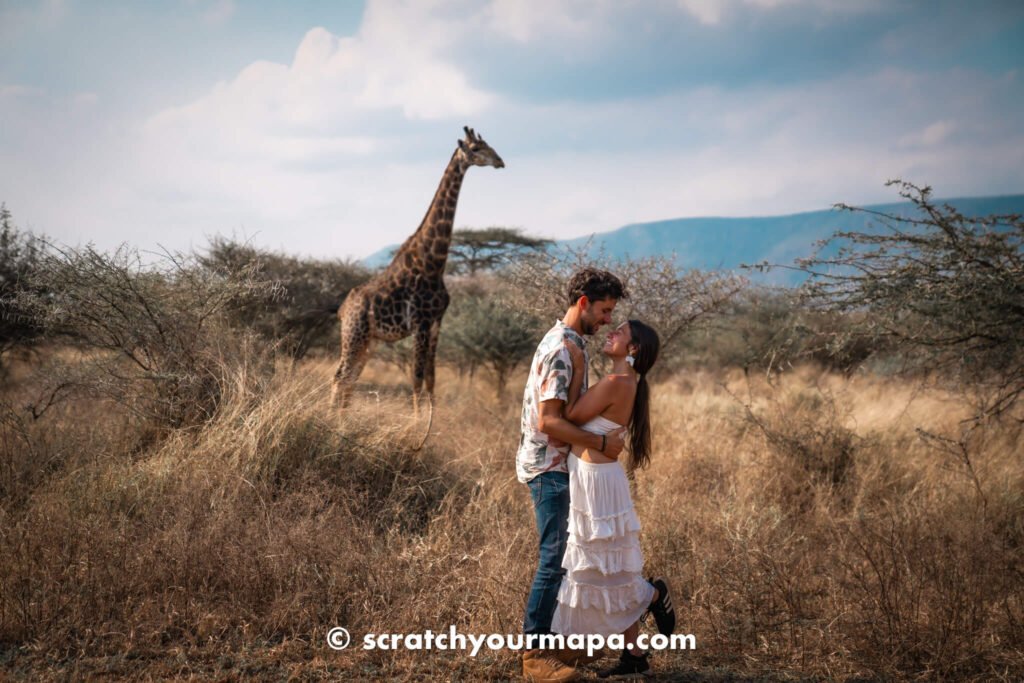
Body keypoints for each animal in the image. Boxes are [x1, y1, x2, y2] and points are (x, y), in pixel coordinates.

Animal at [331, 126, 505, 413]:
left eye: (489, 145)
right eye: (476, 148)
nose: (500, 161)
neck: (433, 262)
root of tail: (342, 310)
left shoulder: (436, 322)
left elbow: (431, 380)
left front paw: (431, 422)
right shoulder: (420, 323)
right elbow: (416, 379)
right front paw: (417, 424)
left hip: (370, 340)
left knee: (349, 379)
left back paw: (342, 421)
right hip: (354, 335)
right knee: (339, 378)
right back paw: (333, 420)